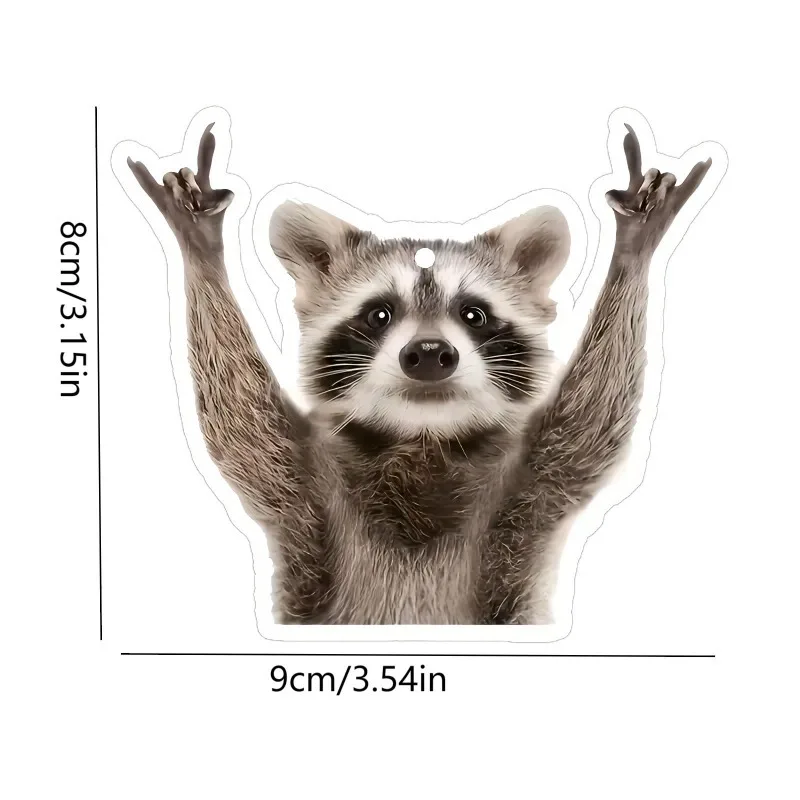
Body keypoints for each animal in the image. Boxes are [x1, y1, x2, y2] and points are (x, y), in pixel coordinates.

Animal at [127, 122, 711, 624]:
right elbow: (241, 423)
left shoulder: (532, 492)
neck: (422, 439)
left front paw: (632, 251)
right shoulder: (303, 495)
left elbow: (592, 422)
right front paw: (202, 252)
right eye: (379, 314)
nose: (429, 353)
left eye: (473, 314)